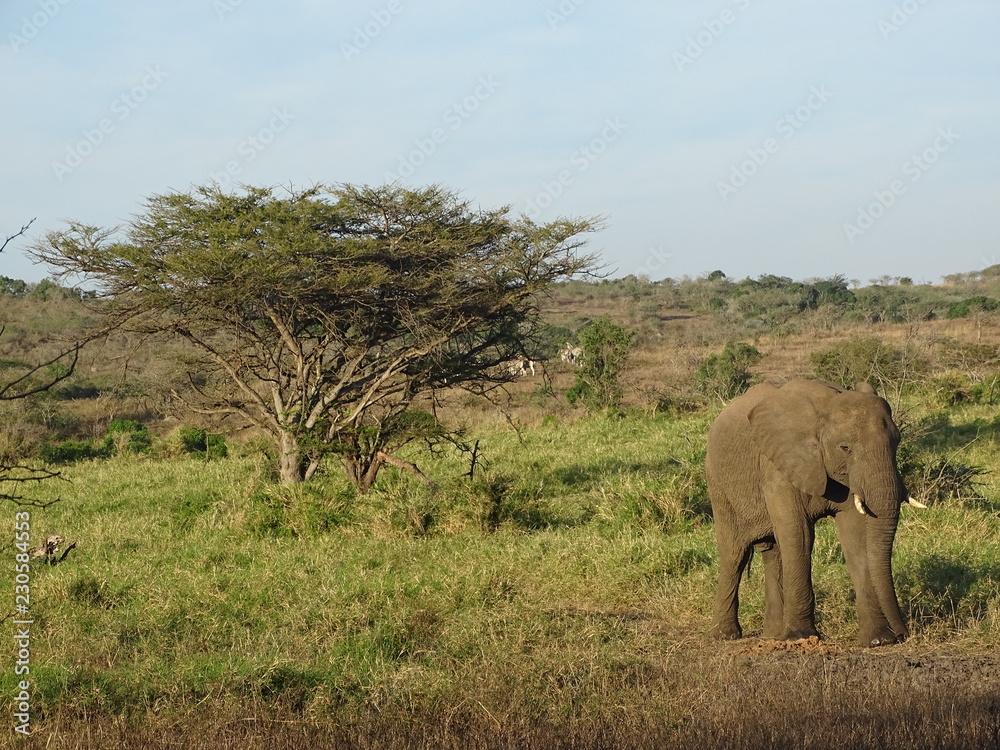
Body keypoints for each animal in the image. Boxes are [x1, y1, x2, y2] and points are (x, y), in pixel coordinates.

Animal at [704, 378, 920, 648]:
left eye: (897, 441)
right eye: (845, 448)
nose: (902, 634)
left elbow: (856, 537)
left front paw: (878, 640)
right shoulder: (777, 467)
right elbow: (799, 535)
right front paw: (800, 638)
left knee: (773, 552)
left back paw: (772, 635)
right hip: (718, 483)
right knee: (735, 554)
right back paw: (725, 635)